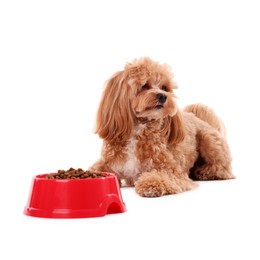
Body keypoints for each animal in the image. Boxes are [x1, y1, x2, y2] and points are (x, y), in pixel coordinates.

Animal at [90, 55, 235, 196]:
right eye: (144, 85)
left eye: (164, 87)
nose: (162, 96)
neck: (138, 129)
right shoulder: (107, 163)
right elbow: (97, 169)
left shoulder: (171, 169)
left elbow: (161, 176)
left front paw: (151, 184)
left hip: (209, 140)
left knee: (222, 168)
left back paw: (204, 172)